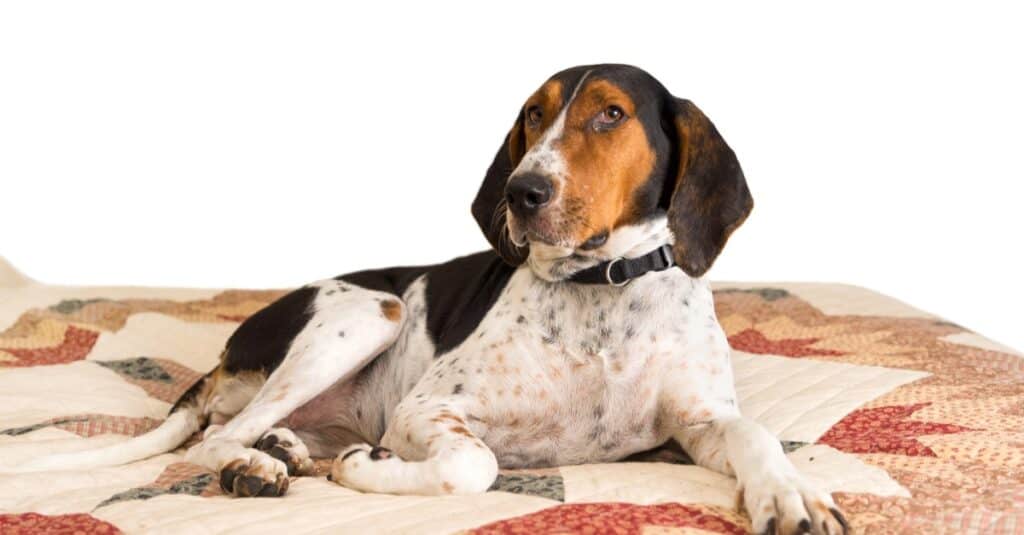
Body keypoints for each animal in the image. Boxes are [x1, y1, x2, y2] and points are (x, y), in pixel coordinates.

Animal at [25, 64, 847, 528]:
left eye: (611, 113)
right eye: (532, 114)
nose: (522, 191)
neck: (601, 294)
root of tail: (227, 349)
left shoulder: (699, 428)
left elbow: (756, 435)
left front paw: (793, 495)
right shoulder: (428, 411)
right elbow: (470, 466)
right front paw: (366, 468)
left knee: (257, 429)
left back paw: (283, 450)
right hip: (369, 312)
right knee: (217, 437)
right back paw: (258, 466)